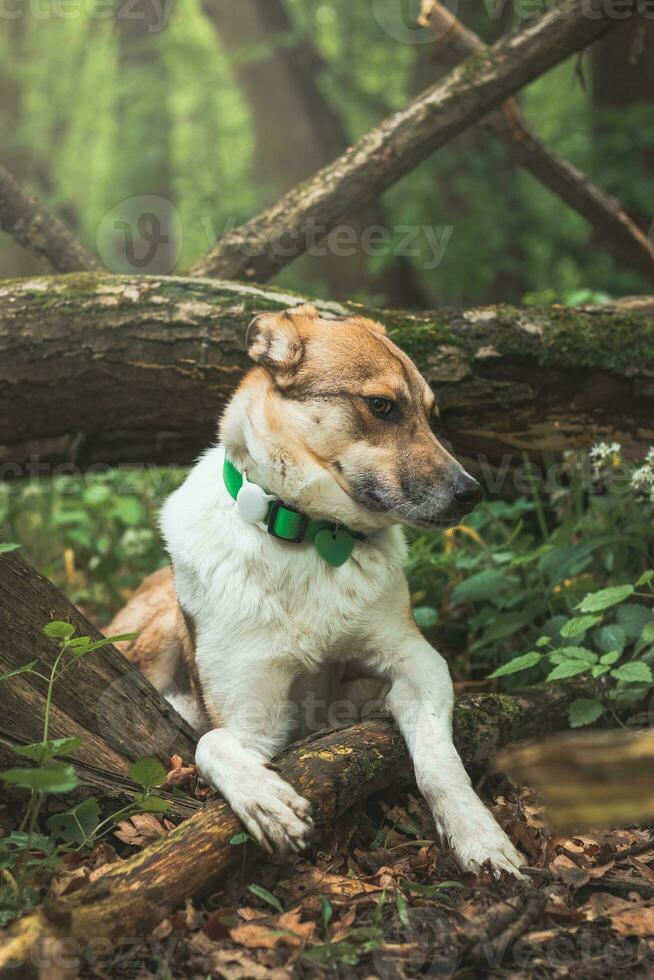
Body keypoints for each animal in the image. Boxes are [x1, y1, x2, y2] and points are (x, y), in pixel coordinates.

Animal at [110, 302, 524, 876]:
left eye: (431, 414)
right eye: (381, 406)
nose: (472, 493)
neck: (310, 533)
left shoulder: (419, 661)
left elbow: (442, 760)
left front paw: (478, 834)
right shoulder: (252, 716)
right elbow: (210, 743)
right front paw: (266, 801)